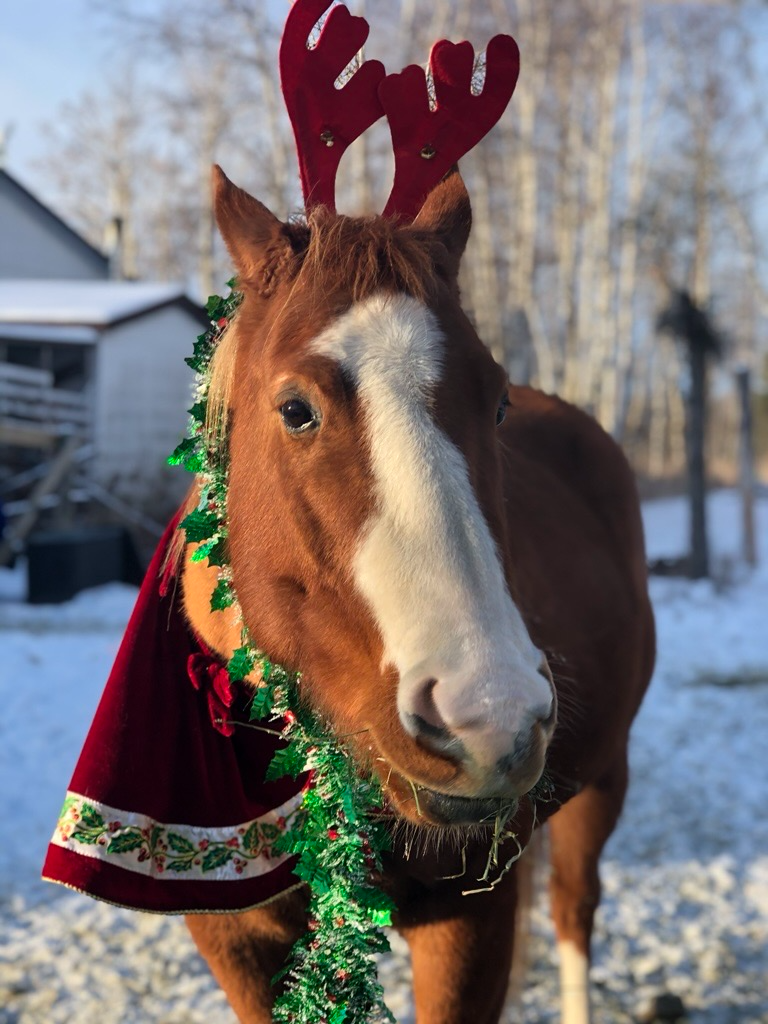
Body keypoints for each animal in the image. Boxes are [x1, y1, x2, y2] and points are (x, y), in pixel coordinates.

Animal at [176, 163, 655, 1024]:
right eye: (296, 408)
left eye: (496, 400)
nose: (491, 722)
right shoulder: (234, 942)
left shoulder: (470, 918)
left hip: (604, 779)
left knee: (574, 907)